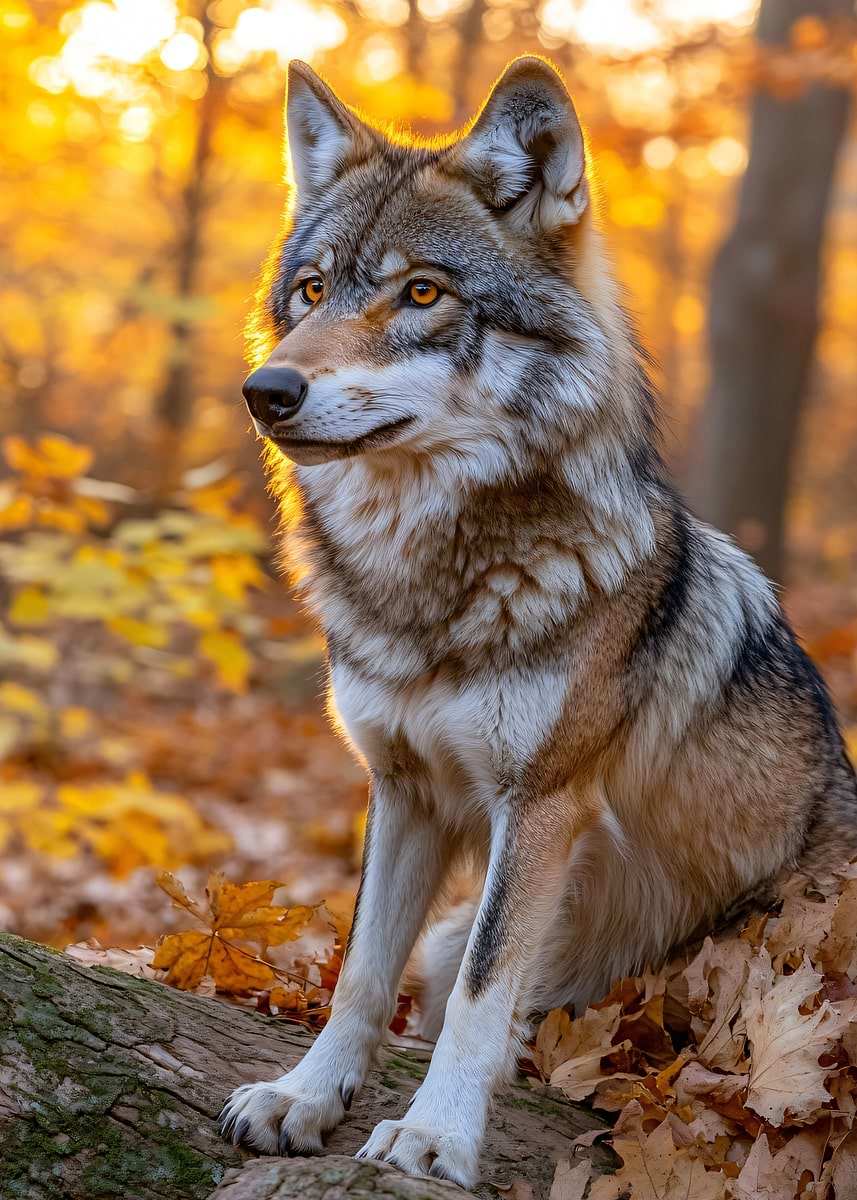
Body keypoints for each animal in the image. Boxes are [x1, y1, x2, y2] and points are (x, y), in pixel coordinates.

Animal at [220, 56, 857, 1187]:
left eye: (421, 293)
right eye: (312, 291)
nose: (265, 389)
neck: (430, 589)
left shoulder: (543, 803)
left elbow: (483, 989)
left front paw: (432, 1134)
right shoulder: (402, 790)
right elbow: (360, 970)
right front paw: (305, 1096)